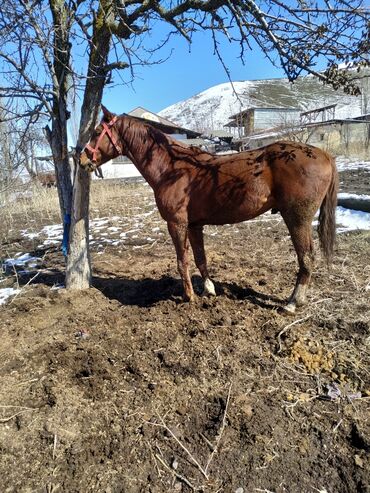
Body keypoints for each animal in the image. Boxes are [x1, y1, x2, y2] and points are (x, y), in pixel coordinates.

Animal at [80, 106, 338, 312]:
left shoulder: (176, 223)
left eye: (96, 132)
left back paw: (293, 302)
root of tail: (324, 154)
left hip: (297, 218)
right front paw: (208, 289)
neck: (172, 168)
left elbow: (182, 261)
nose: (82, 160)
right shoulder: (194, 225)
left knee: (307, 258)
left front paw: (189, 297)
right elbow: (200, 258)